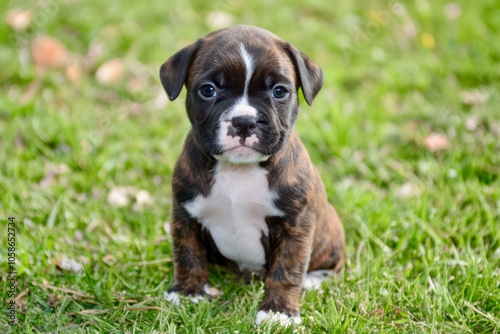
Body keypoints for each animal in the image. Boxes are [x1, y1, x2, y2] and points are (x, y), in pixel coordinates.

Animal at [160, 26, 344, 326]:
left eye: (279, 91)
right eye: (208, 90)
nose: (244, 121)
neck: (239, 169)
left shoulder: (295, 225)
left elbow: (287, 269)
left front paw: (278, 312)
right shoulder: (185, 215)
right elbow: (187, 254)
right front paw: (188, 292)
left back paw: (313, 280)